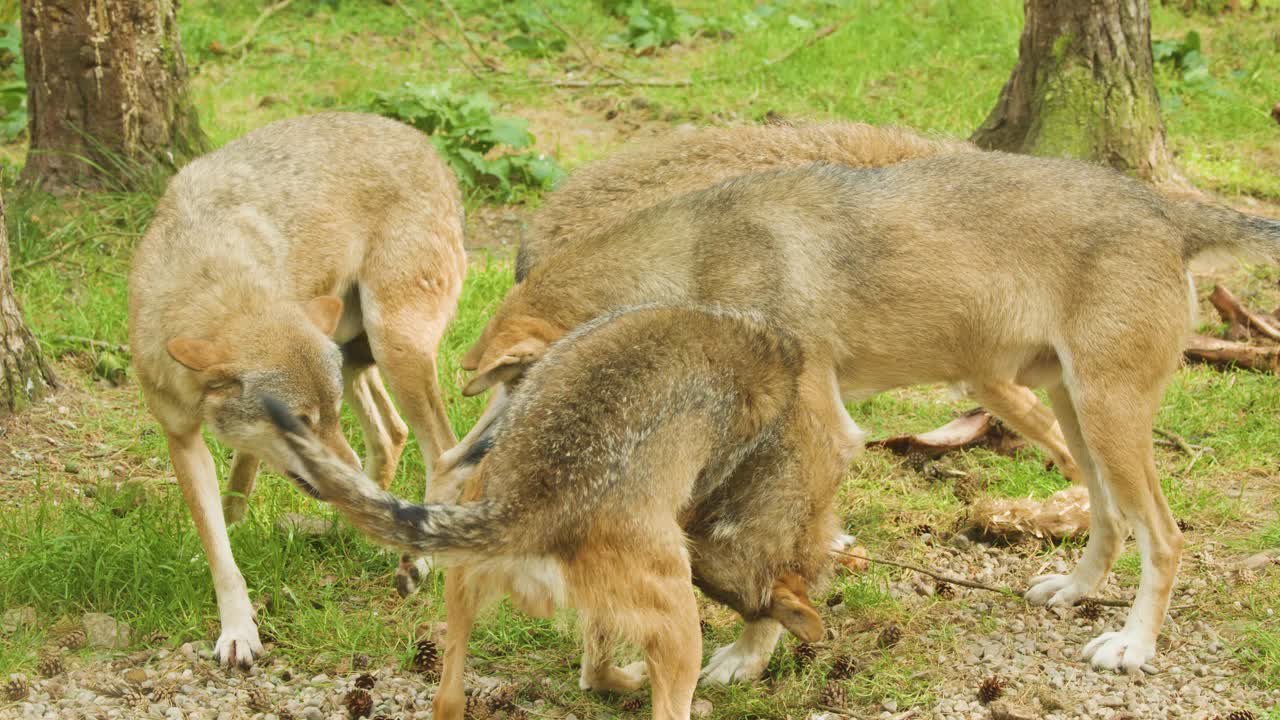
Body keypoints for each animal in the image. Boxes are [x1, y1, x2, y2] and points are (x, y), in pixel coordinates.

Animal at [127, 112, 466, 666]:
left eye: (324, 417)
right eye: (300, 422)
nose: (350, 483)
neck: (208, 275)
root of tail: (426, 145)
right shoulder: (182, 438)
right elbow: (223, 531)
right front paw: (237, 622)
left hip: (395, 348)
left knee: (444, 450)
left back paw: (418, 561)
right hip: (356, 358)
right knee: (390, 433)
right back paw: (367, 527)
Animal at [454, 153, 1280, 673]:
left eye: (519, 383)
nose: (466, 470)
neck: (700, 259)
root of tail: (1165, 211)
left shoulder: (824, 436)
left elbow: (771, 565)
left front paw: (746, 657)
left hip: (1106, 418)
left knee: (1166, 537)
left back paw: (1133, 647)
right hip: (1075, 412)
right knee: (1109, 519)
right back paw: (1074, 593)